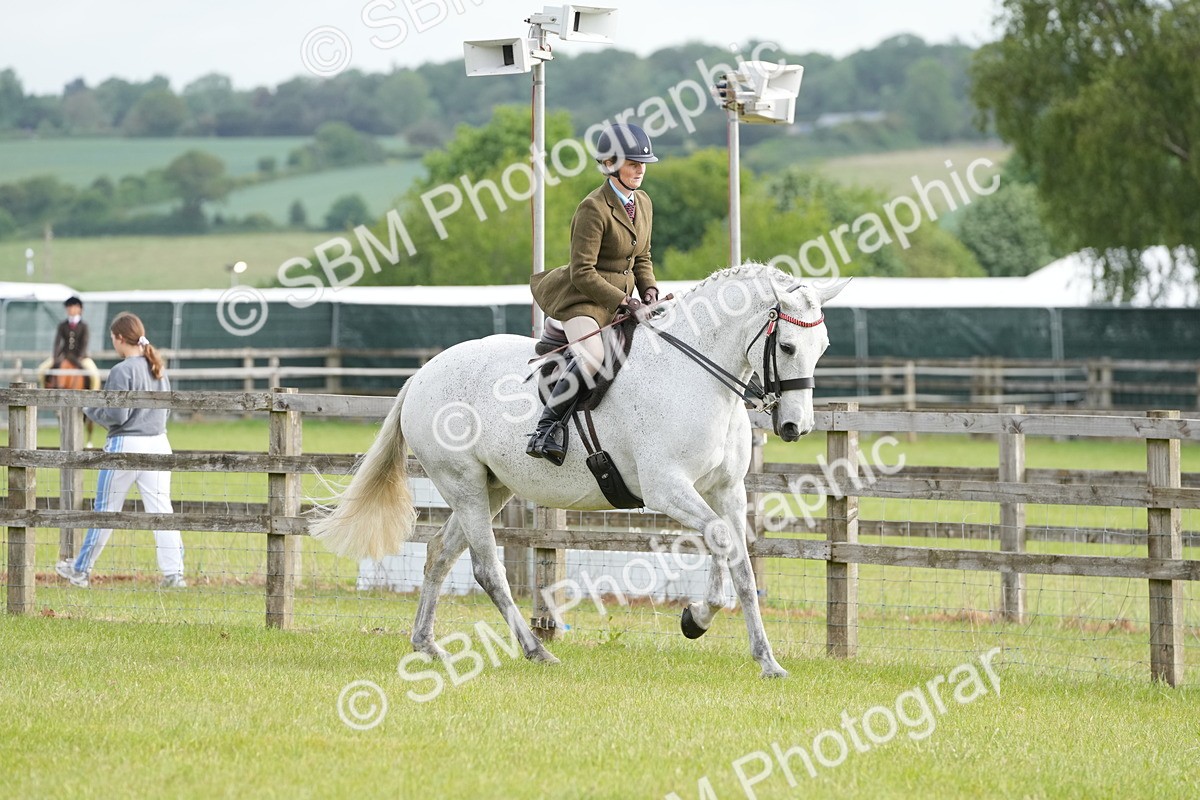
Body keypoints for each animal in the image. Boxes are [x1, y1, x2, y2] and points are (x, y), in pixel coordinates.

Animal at [311, 264, 847, 678]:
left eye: (822, 345)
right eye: (789, 347)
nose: (796, 426)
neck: (695, 374)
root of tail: (424, 373)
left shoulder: (727, 490)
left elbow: (737, 559)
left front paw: (753, 652)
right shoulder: (667, 488)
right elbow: (722, 543)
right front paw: (699, 619)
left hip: (491, 488)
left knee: (439, 555)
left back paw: (427, 645)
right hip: (461, 484)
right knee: (487, 569)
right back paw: (536, 650)